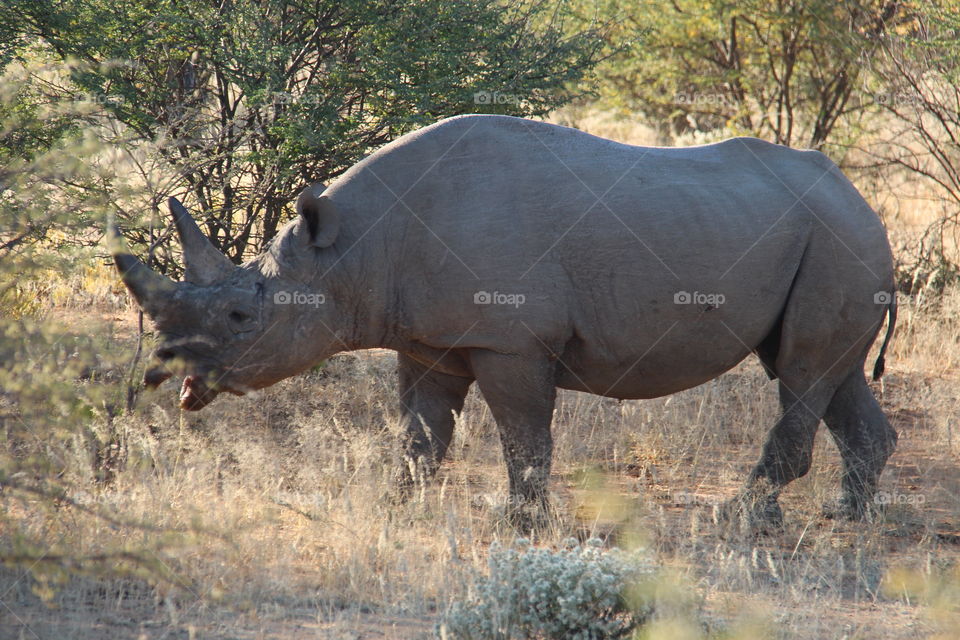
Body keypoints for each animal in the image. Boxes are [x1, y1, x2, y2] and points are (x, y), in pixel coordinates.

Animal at [111, 114, 898, 530]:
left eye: (243, 315)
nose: (167, 375)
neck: (352, 249)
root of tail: (864, 201)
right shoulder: (427, 340)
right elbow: (421, 436)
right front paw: (400, 510)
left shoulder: (510, 340)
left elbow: (524, 437)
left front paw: (521, 526)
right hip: (836, 240)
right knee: (830, 374)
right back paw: (849, 519)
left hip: (839, 242)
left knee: (801, 372)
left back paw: (741, 521)